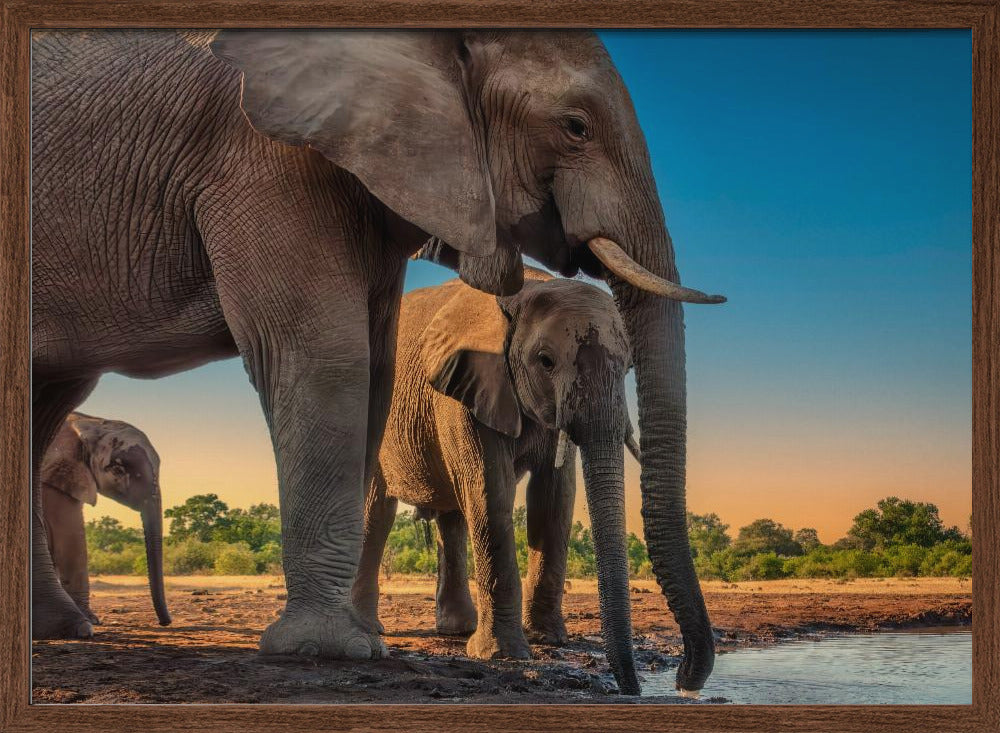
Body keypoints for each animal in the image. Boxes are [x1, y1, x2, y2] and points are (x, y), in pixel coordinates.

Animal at [353, 269, 644, 694]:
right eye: (546, 361)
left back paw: (458, 629)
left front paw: (547, 639)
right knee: (377, 511)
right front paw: (505, 655)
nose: (631, 689)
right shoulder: (466, 389)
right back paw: (368, 628)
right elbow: (491, 489)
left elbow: (554, 499)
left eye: (627, 368)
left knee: (452, 518)